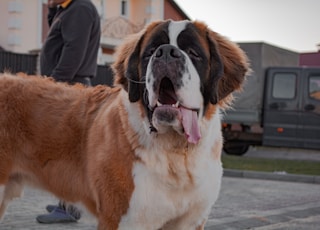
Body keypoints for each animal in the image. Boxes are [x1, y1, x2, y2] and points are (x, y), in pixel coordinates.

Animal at [0, 20, 249, 230]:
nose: (166, 52)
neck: (175, 152)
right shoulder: (123, 218)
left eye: (193, 53)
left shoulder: (191, 222)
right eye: (150, 52)